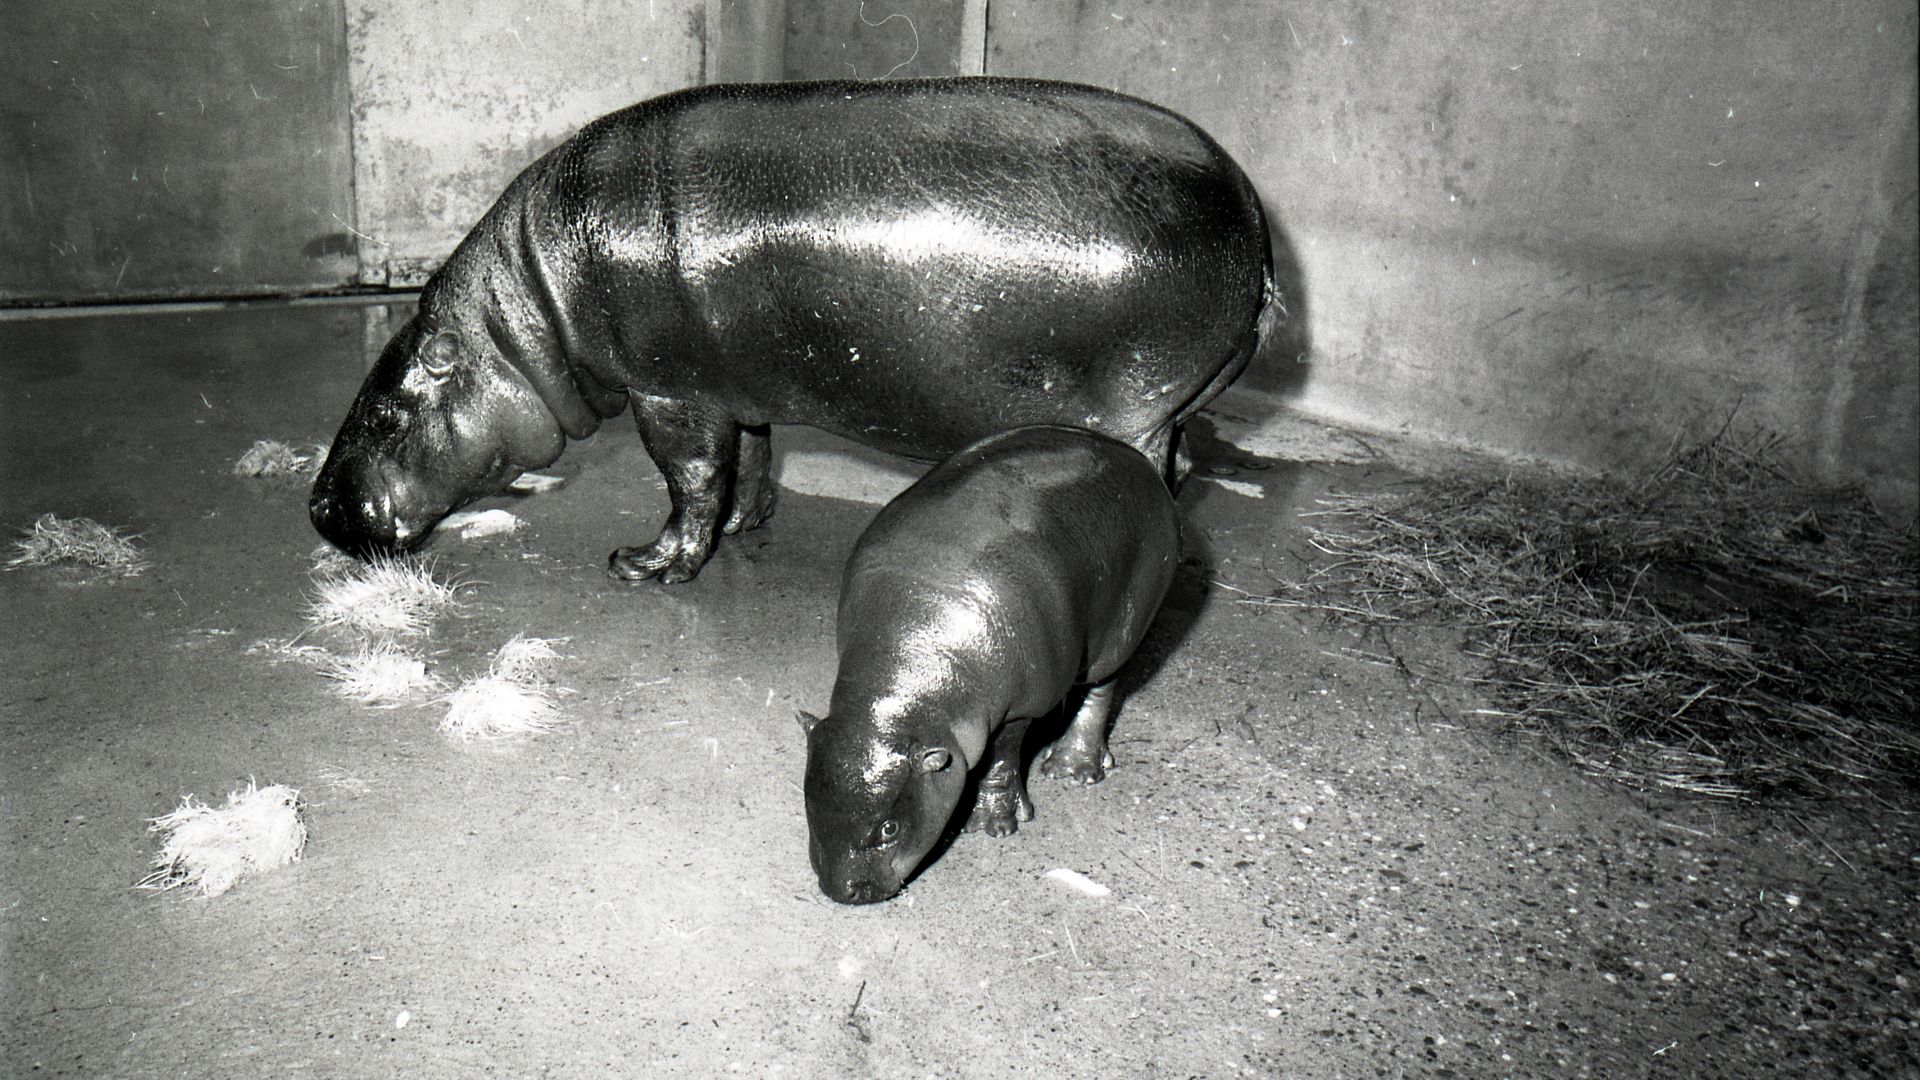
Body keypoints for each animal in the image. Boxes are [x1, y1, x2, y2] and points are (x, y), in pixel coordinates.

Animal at [310, 76, 1276, 582]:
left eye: (389, 413)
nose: (317, 508)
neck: (525, 316)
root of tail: (1254, 218)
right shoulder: (732, 382)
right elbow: (751, 456)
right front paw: (746, 528)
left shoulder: (669, 391)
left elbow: (692, 479)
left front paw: (648, 566)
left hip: (1139, 406)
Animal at [800, 424, 1179, 904]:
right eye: (809, 804)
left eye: (889, 828)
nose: (840, 890)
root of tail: (1136, 458)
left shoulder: (1017, 708)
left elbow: (999, 762)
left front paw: (993, 826)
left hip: (1121, 629)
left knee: (1100, 690)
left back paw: (1070, 770)